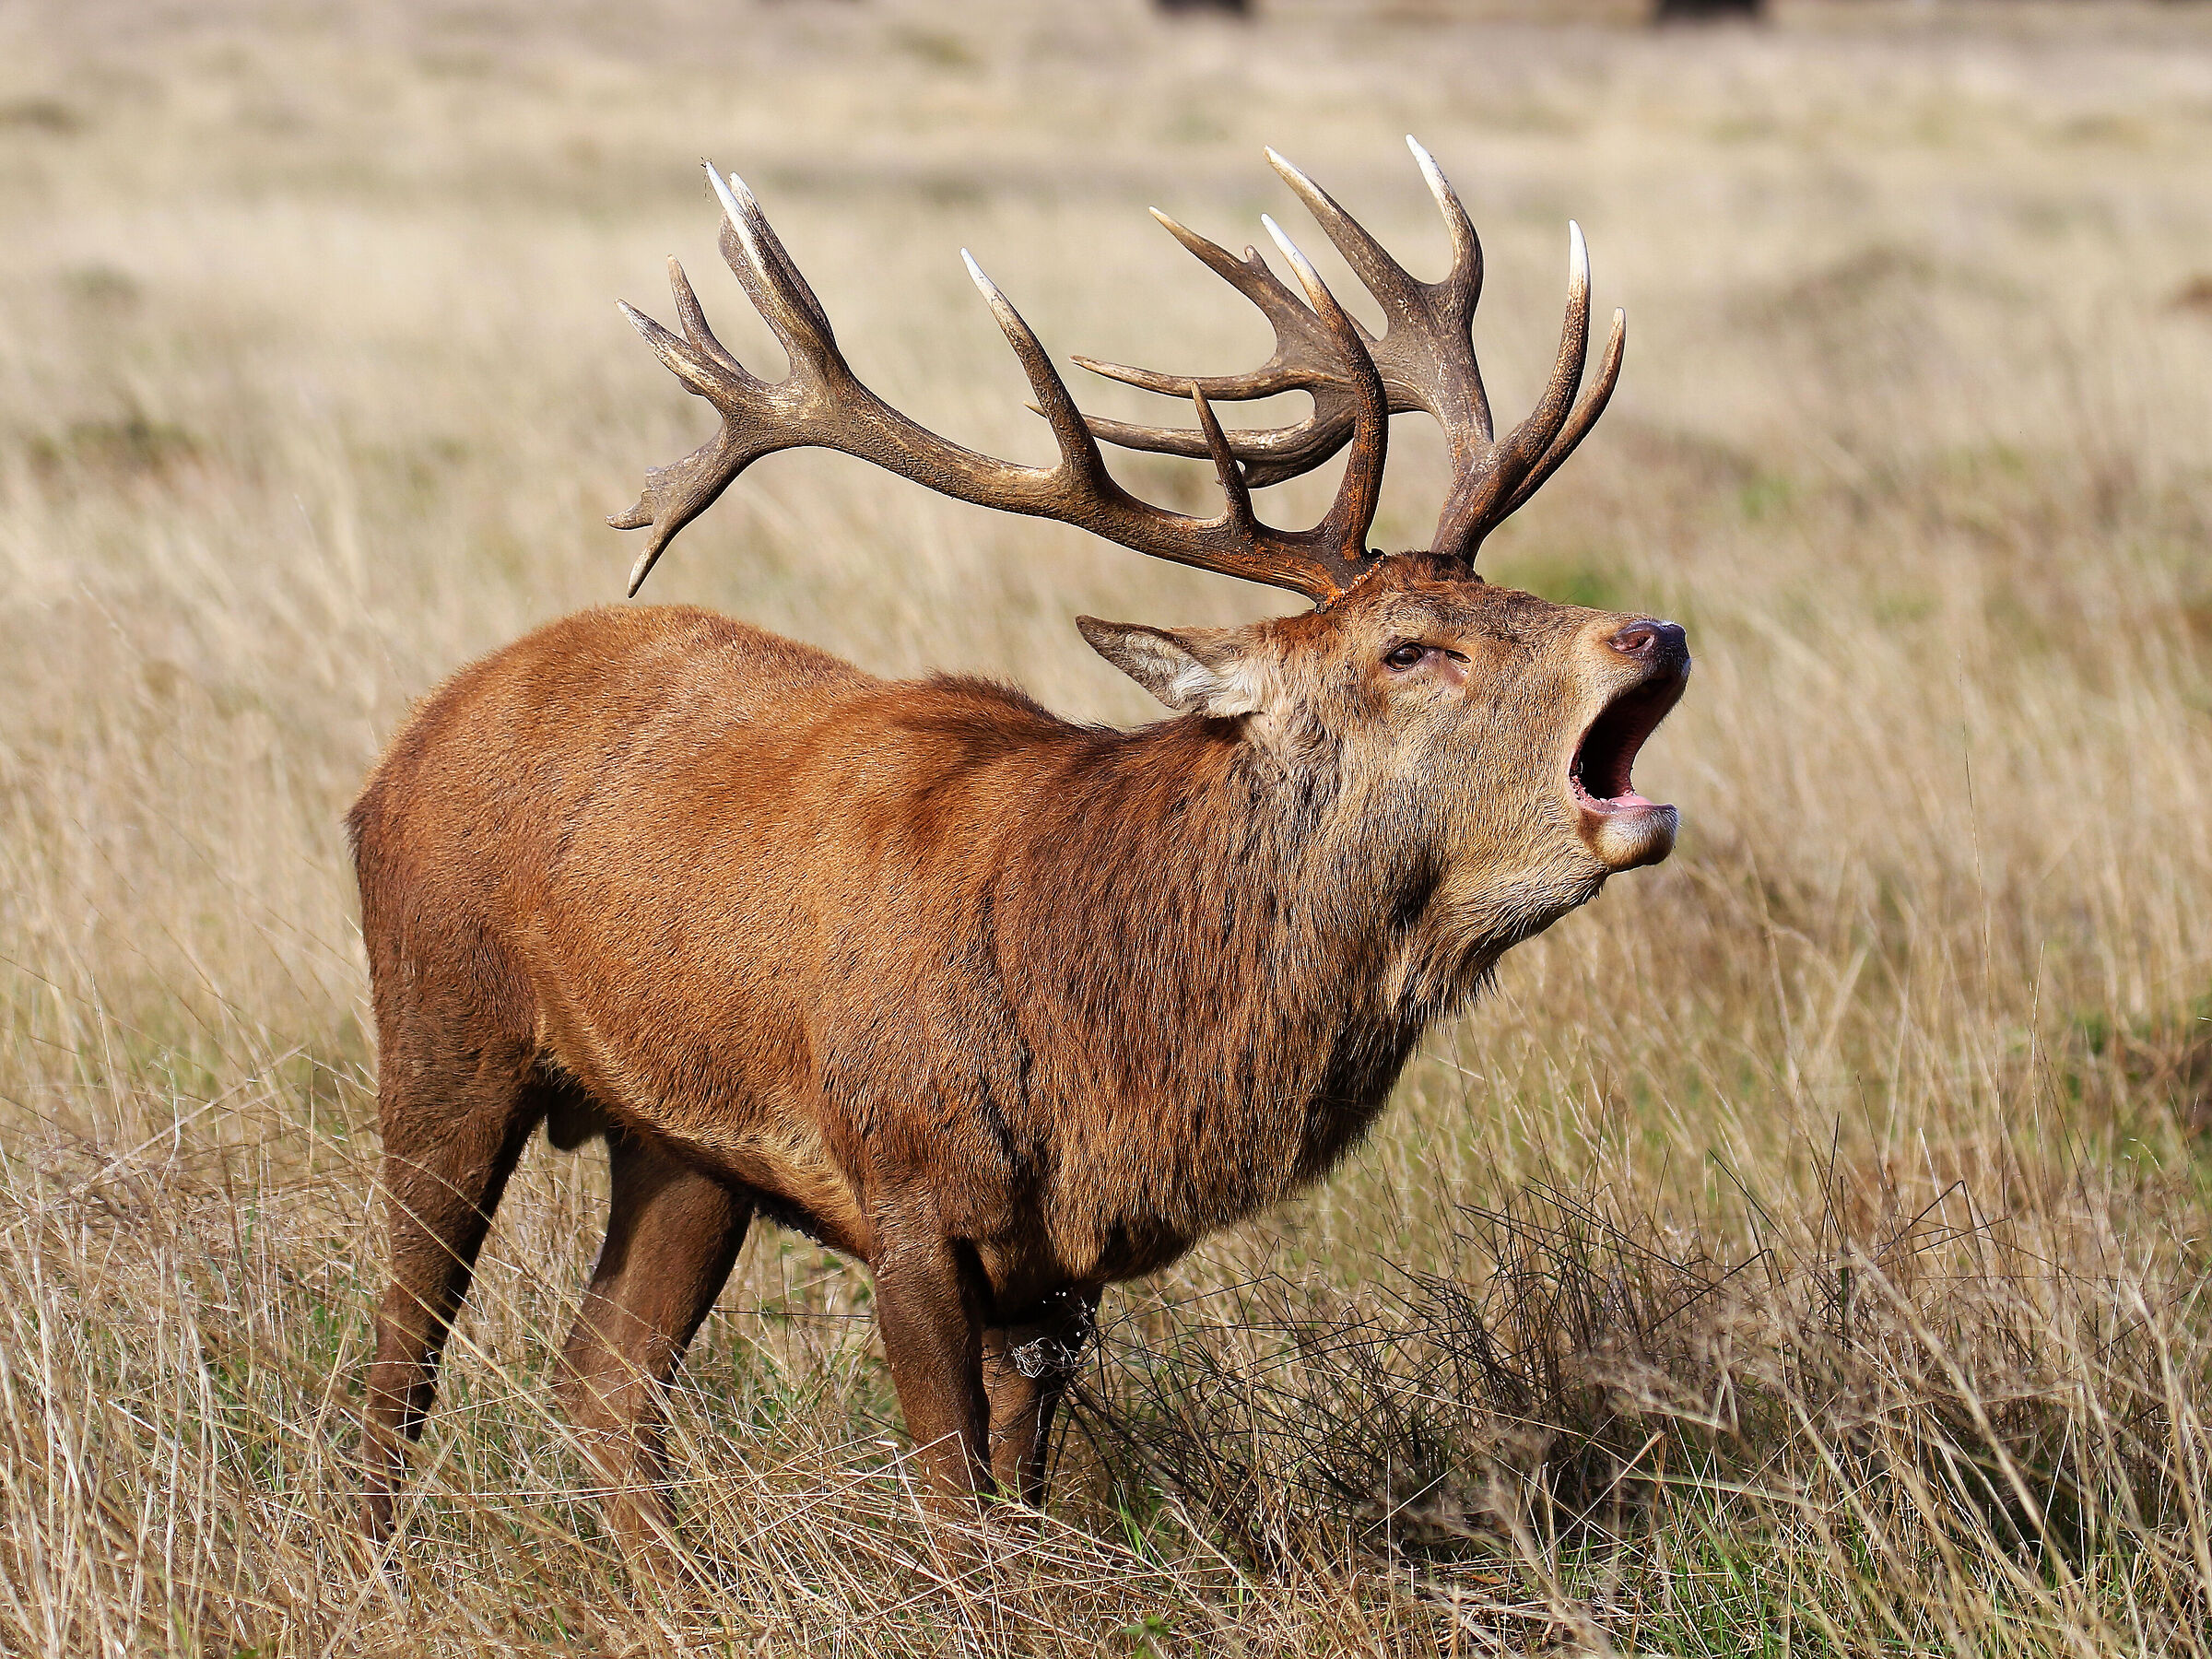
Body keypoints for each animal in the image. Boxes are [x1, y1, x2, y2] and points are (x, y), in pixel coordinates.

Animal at [351, 139, 1689, 1570]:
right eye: (1409, 648)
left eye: (1502, 590)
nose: (1651, 633)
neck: (1108, 1033)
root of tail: (411, 739)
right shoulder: (906, 1192)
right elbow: (954, 1511)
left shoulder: (1056, 1270)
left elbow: (1018, 1504)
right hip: (441, 1021)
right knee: (402, 1355)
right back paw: (377, 1567)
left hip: (682, 1145)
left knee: (604, 1371)